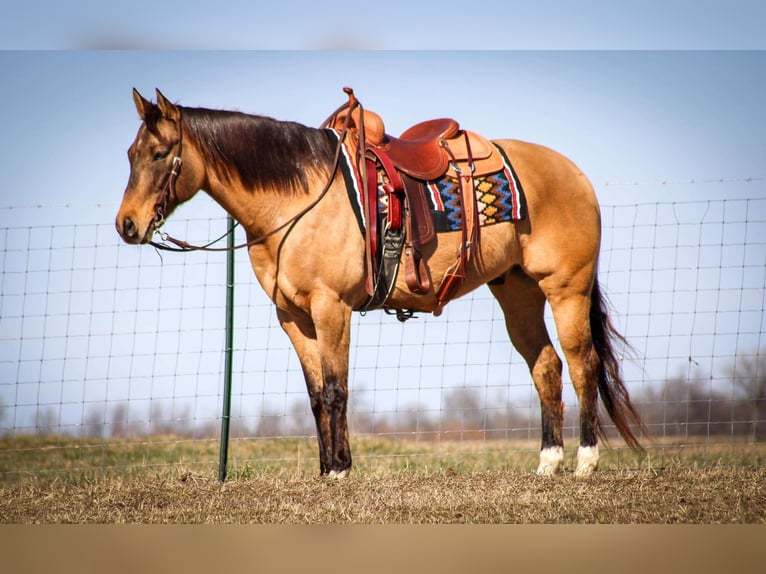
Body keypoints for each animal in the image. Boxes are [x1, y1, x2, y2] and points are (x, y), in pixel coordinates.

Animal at [117, 88, 644, 480]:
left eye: (160, 154)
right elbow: (315, 395)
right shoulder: (293, 316)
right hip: (516, 293)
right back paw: (548, 462)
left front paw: (340, 471)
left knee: (582, 365)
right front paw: (326, 469)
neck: (299, 199)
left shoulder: (331, 307)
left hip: (566, 290)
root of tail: (574, 173)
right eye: (130, 154)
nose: (127, 225)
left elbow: (336, 388)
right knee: (547, 367)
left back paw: (585, 462)